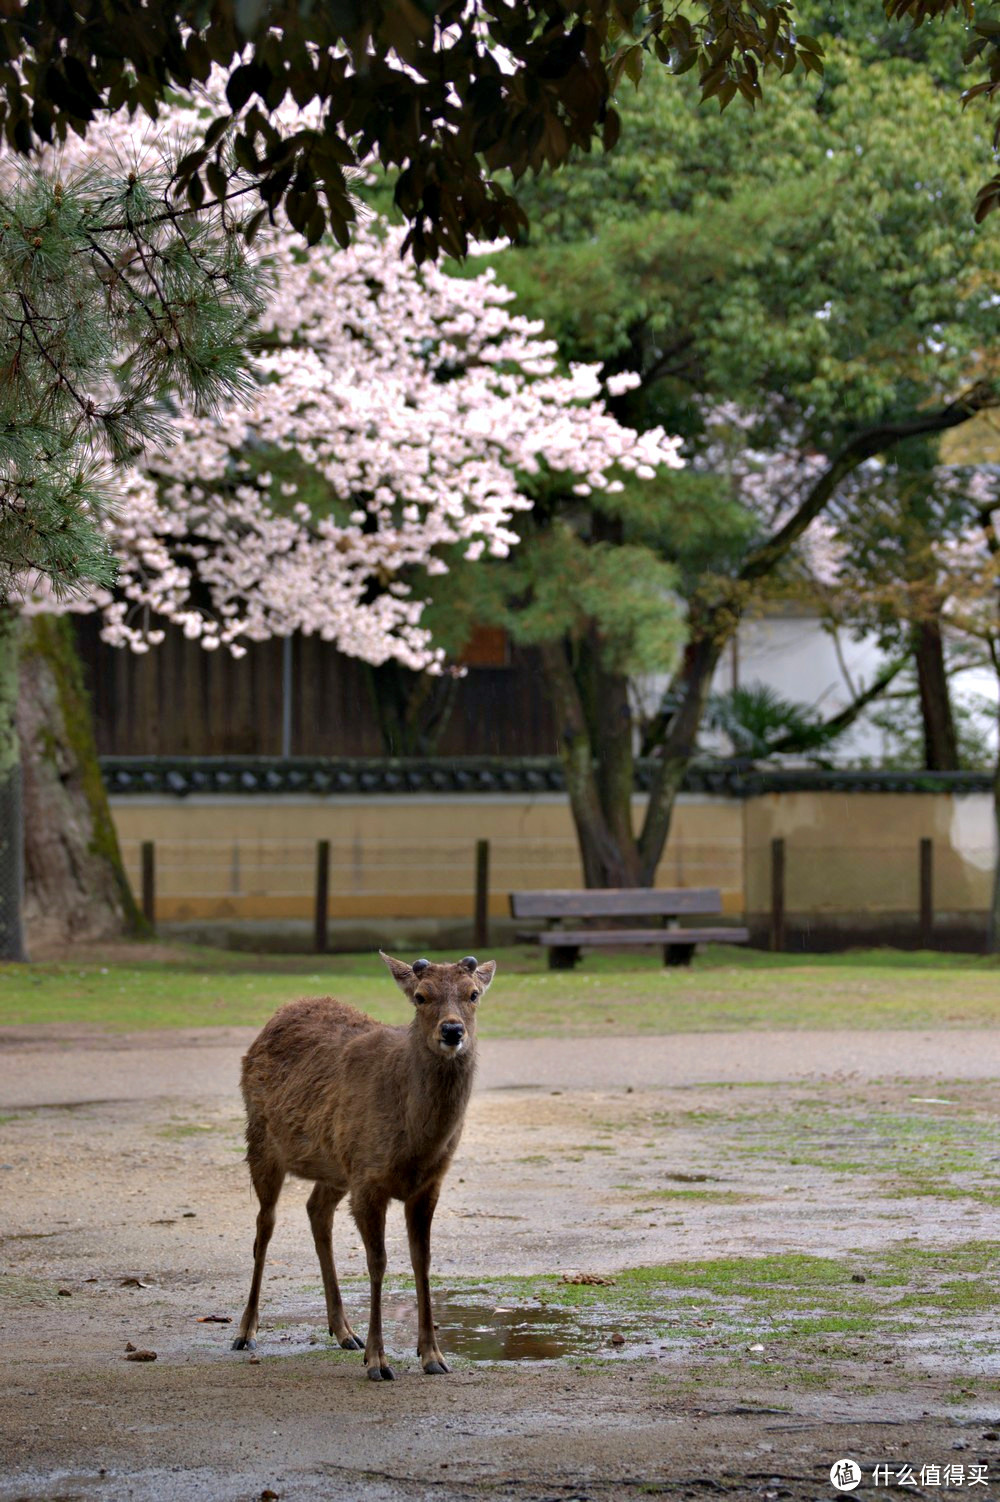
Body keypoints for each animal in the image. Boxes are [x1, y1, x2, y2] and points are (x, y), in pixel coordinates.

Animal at [231, 955, 495, 1375]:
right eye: (421, 996)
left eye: (473, 994)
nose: (453, 1030)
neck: (416, 1144)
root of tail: (278, 1014)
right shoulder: (369, 1179)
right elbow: (378, 1262)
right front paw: (378, 1361)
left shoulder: (428, 1184)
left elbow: (422, 1260)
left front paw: (432, 1355)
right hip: (261, 1140)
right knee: (264, 1226)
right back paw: (245, 1331)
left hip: (336, 1167)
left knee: (316, 1210)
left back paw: (344, 1331)